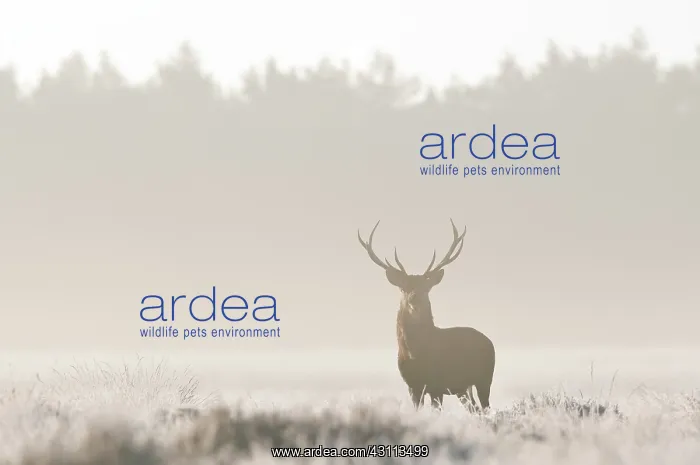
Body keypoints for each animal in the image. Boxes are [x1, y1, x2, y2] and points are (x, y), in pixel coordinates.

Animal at [357, 219, 495, 411]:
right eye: (403, 288)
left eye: (426, 288)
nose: (414, 298)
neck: (416, 354)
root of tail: (489, 341)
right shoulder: (412, 386)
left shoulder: (438, 385)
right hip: (463, 389)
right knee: (475, 409)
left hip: (484, 378)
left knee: (485, 407)